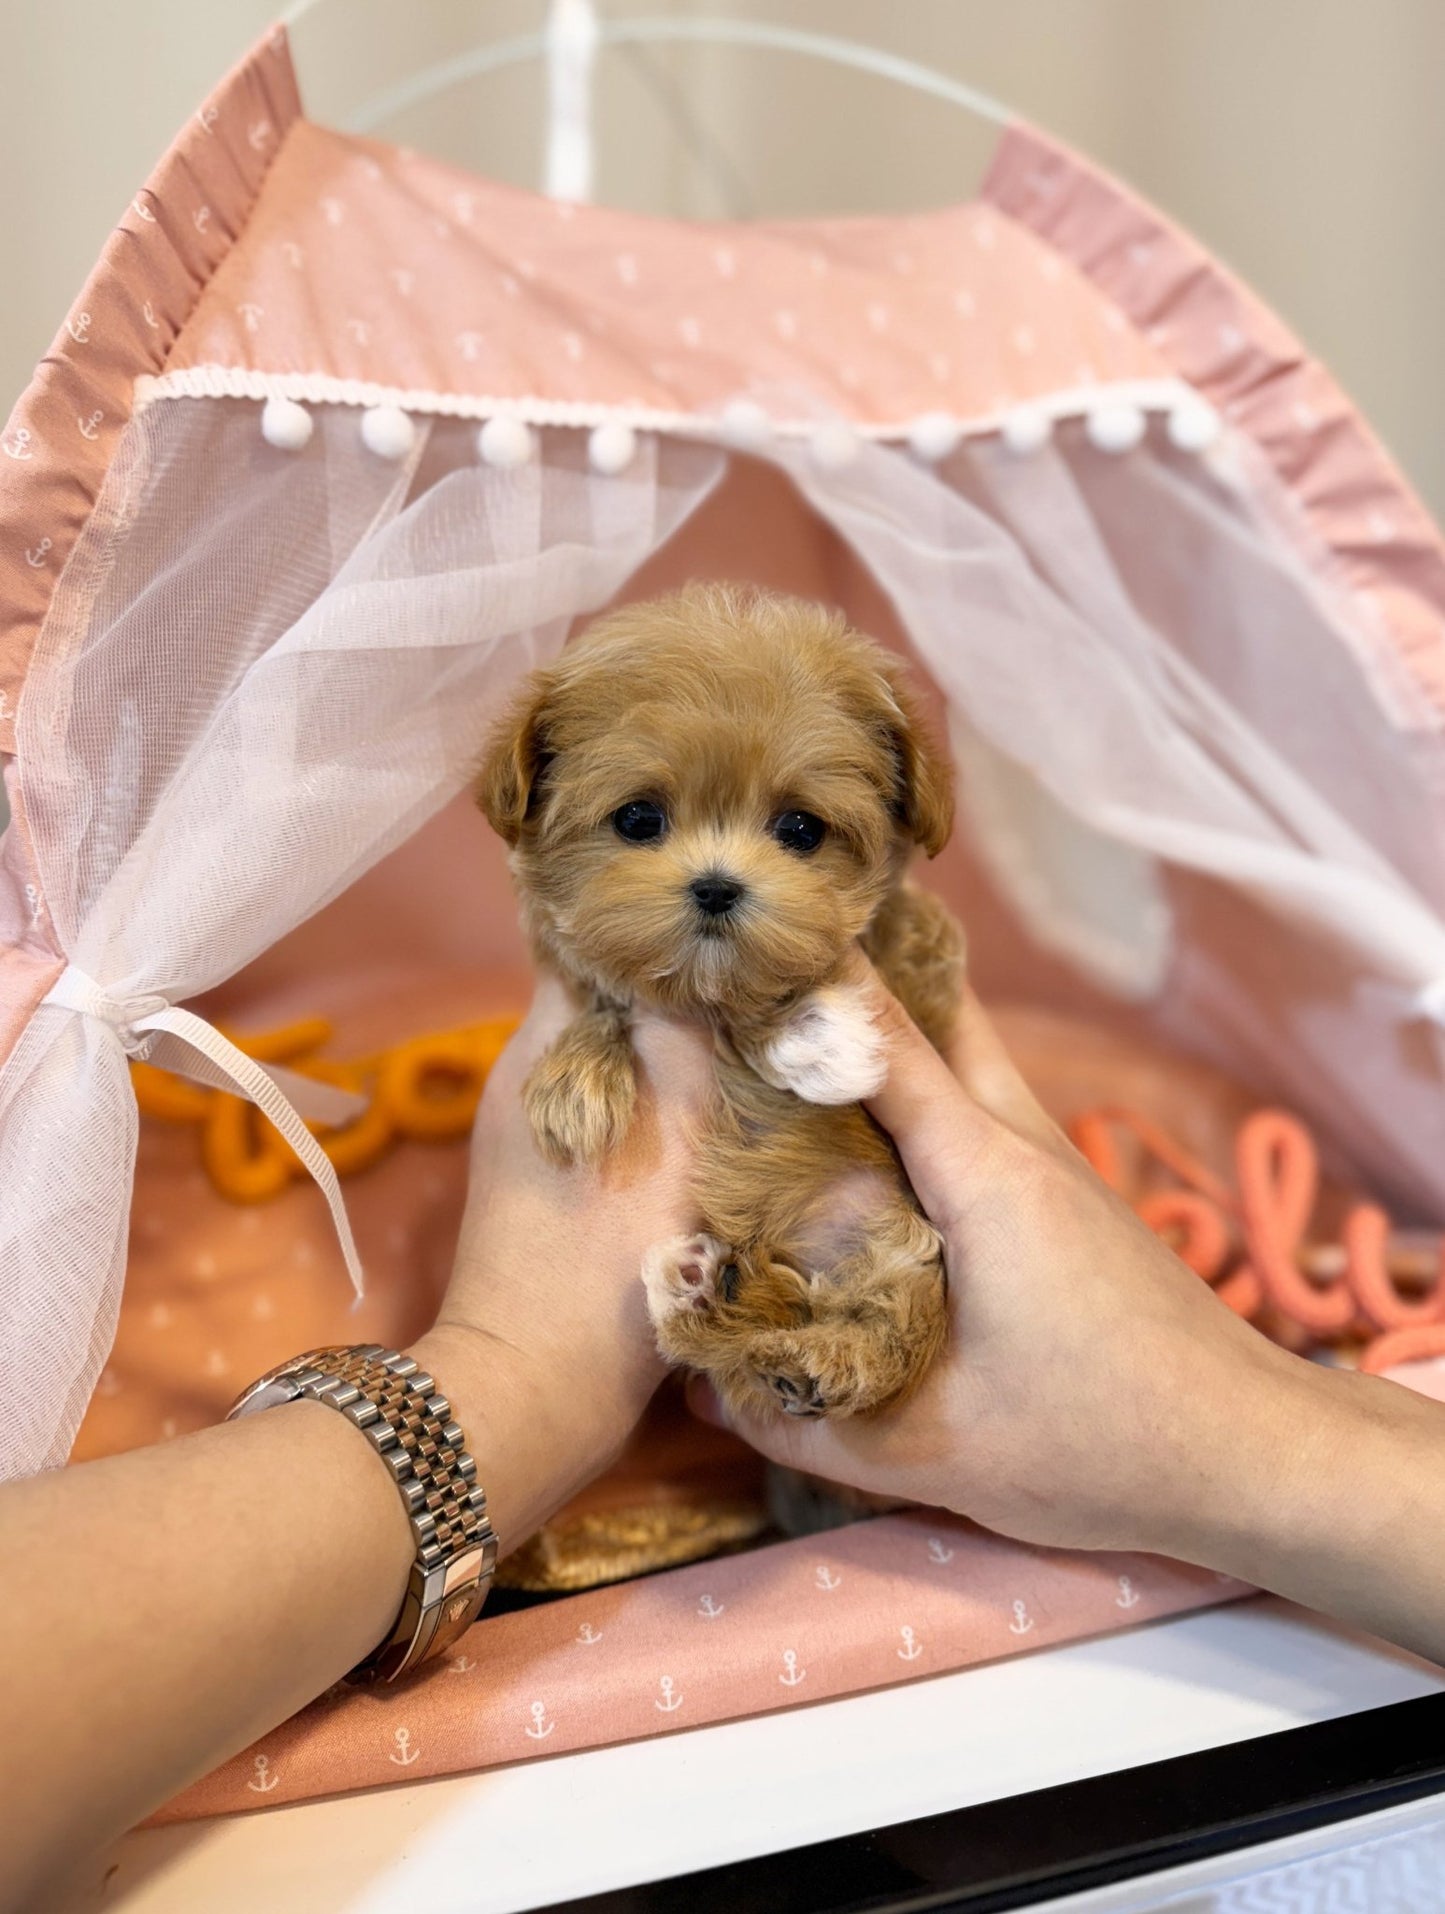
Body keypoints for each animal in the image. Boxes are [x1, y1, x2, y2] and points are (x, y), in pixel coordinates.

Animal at [480, 581, 964, 1424]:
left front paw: (815, 1035)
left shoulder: (923, 976)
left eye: (800, 828)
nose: (715, 886)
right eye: (638, 818)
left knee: (878, 1343)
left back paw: (779, 1338)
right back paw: (702, 1293)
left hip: (908, 1256)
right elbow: (602, 995)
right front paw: (575, 1085)